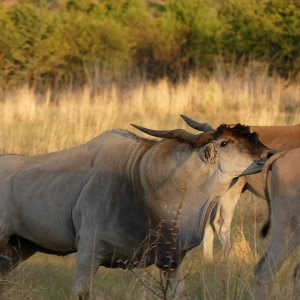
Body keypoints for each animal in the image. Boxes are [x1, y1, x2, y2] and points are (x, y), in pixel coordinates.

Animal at [0, 121, 272, 298]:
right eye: (225, 142)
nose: (268, 154)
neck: (143, 180)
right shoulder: (89, 251)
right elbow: (82, 291)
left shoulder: (171, 261)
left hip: (19, 248)